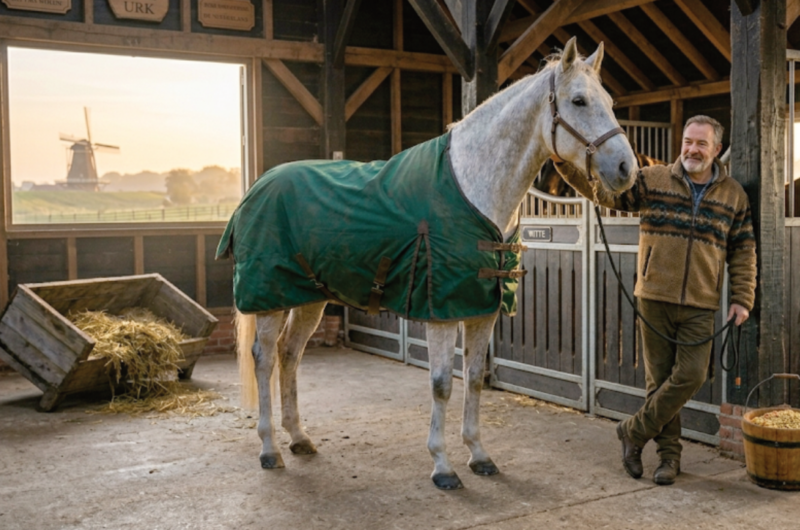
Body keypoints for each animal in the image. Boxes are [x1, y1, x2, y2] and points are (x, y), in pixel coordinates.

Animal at [220, 37, 637, 490]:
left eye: (610, 101)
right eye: (578, 100)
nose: (626, 169)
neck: (471, 187)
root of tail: (257, 186)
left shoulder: (482, 310)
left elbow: (472, 379)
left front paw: (479, 455)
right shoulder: (442, 311)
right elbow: (441, 384)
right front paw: (442, 465)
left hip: (310, 298)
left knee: (289, 354)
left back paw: (298, 438)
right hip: (271, 299)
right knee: (264, 358)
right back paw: (269, 448)